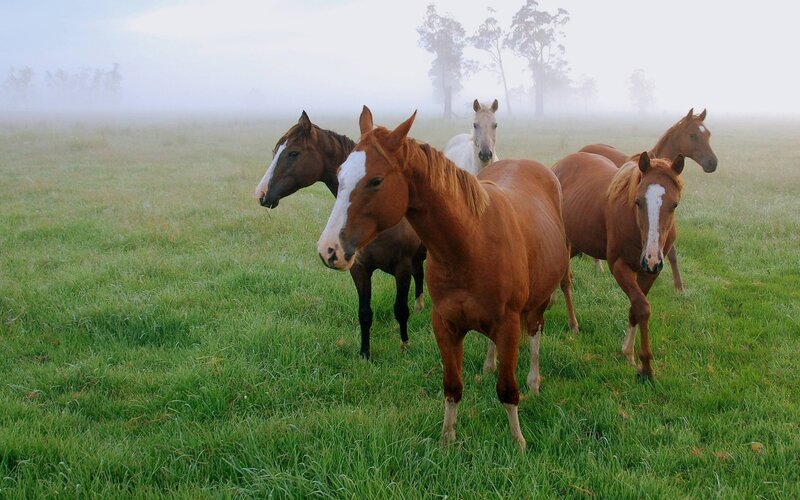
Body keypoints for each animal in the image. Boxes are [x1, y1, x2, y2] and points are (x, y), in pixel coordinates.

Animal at [254, 110, 426, 360]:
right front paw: (364, 354)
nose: (261, 194)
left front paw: (404, 345)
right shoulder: (359, 269)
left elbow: (400, 310)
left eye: (293, 153)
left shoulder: (401, 268)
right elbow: (365, 313)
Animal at [317, 106, 569, 449]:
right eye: (340, 174)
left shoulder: (508, 324)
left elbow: (507, 389)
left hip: (538, 302)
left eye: (375, 180)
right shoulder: (445, 324)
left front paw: (518, 442)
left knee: (535, 333)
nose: (328, 249)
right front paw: (447, 439)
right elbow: (452, 386)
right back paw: (489, 365)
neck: (471, 243)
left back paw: (533, 379)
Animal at [553, 151, 684, 380]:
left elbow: (635, 308)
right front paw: (646, 367)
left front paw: (628, 353)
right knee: (565, 281)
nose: (651, 258)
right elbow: (642, 307)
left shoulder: (649, 273)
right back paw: (573, 324)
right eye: (638, 202)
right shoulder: (619, 267)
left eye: (674, 204)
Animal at [580, 108, 717, 291]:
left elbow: (671, 252)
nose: (712, 163)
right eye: (692, 135)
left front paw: (679, 287)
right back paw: (598, 266)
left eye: (708, 134)